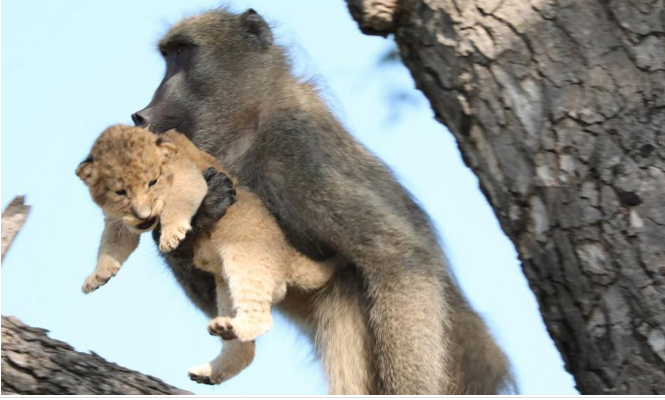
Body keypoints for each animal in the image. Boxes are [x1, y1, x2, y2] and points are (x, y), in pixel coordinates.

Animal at [76, 124, 336, 385]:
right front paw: (97, 276)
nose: (144, 214)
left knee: (262, 318)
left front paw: (171, 235)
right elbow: (112, 243)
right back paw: (210, 366)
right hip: (225, 290)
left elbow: (178, 202)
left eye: (153, 182)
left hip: (244, 261)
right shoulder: (117, 220)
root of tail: (287, 253)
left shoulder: (189, 178)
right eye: (120, 192)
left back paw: (230, 331)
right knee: (245, 349)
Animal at [131, 7, 514, 395]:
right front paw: (202, 212)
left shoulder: (299, 147)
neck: (248, 125)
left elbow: (398, 255)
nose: (141, 115)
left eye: (182, 52)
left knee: (347, 284)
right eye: (167, 55)